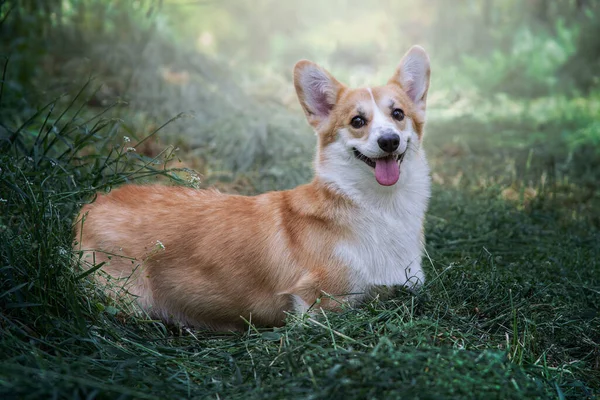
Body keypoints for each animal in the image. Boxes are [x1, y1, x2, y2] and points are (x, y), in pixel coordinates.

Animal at [75, 45, 432, 330]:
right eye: (357, 121)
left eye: (398, 114)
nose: (389, 141)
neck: (381, 207)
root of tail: (91, 205)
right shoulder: (319, 304)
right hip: (129, 301)